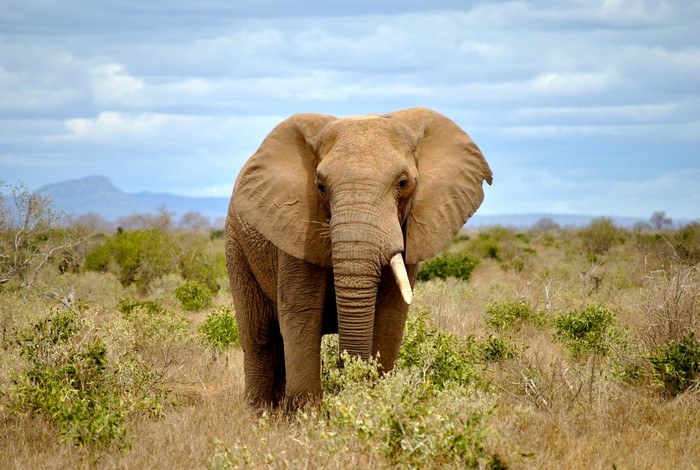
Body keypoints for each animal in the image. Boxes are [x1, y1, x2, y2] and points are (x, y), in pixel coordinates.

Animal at [225, 107, 492, 408]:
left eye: (403, 183)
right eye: (320, 186)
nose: (348, 381)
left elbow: (391, 317)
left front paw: (372, 401)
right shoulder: (296, 230)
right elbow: (301, 313)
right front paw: (310, 413)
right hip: (237, 248)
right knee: (260, 338)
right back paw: (259, 413)